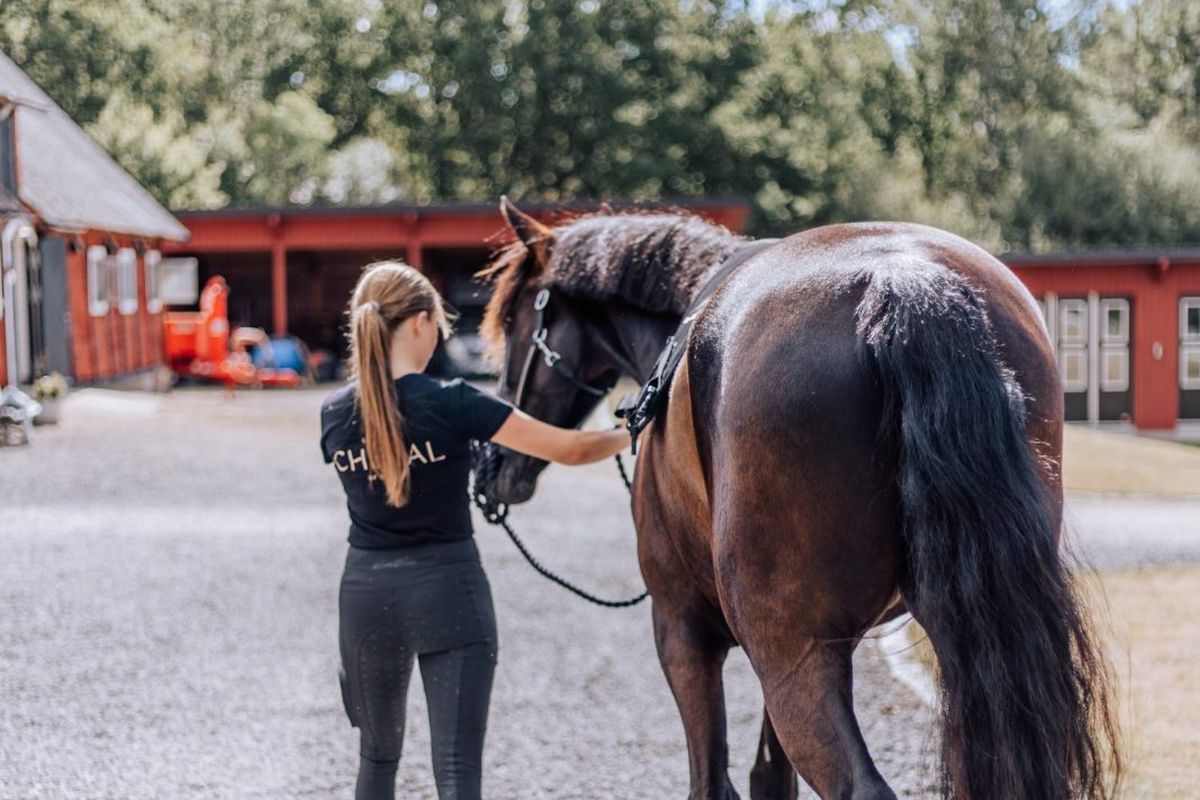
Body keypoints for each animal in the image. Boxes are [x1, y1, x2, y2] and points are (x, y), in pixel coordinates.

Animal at [474, 200, 1119, 800]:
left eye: (511, 319)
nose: (491, 465)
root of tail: (901, 278)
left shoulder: (683, 630)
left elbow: (712, 780)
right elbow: (769, 773)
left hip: (791, 651)